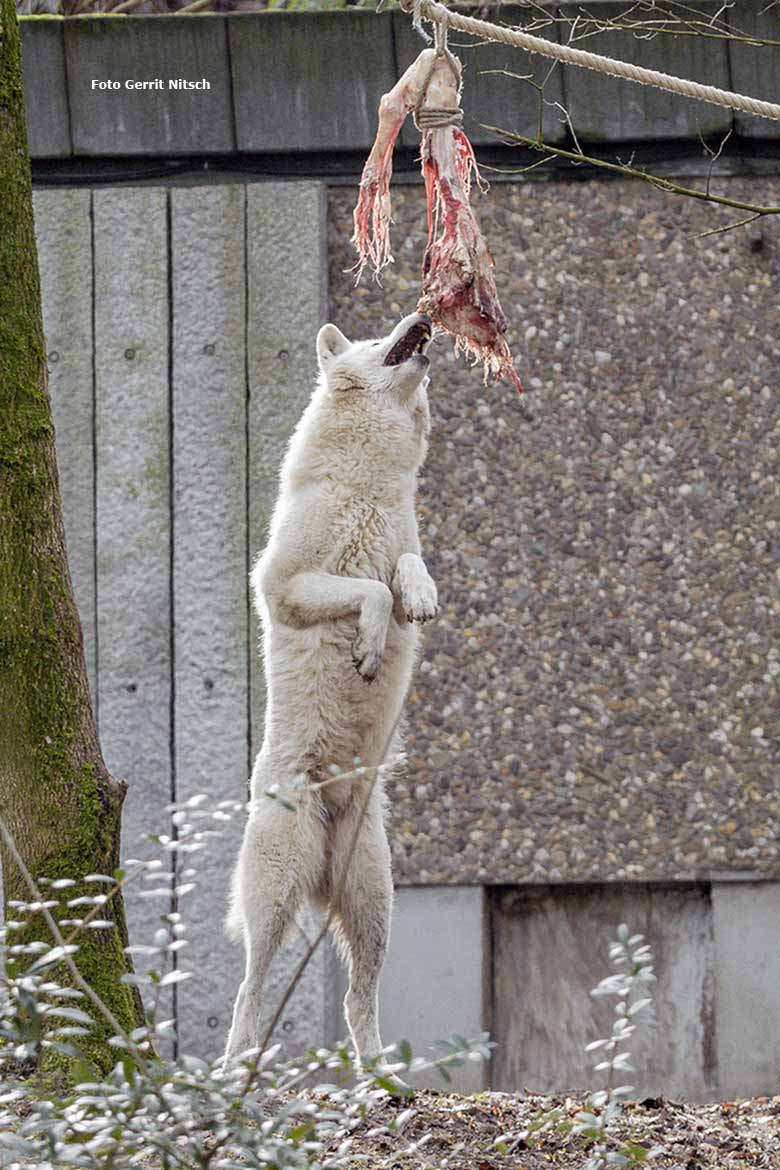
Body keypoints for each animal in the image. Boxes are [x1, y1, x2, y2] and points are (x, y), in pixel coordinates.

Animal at [225, 311, 439, 1071]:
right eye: (378, 340)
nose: (424, 317)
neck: (368, 486)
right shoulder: (286, 585)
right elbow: (368, 589)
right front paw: (367, 648)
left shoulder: (401, 544)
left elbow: (405, 570)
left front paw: (422, 598)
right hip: (278, 896)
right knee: (249, 994)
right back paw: (231, 1072)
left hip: (374, 901)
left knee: (356, 999)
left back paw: (384, 1079)